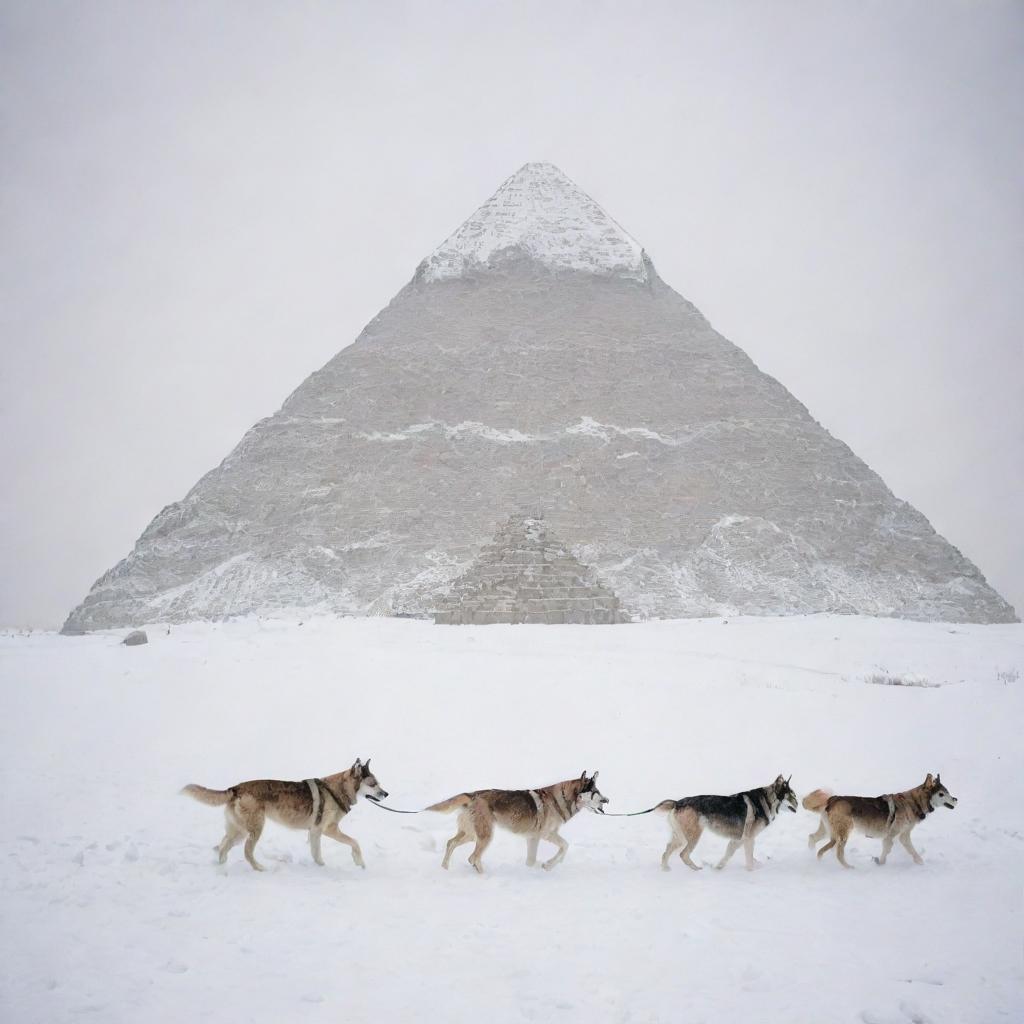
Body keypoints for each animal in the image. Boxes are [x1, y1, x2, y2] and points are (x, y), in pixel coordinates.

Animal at [180, 757, 387, 868]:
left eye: (378, 783)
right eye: (373, 784)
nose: (386, 793)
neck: (337, 790)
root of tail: (236, 788)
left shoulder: (315, 832)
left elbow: (317, 853)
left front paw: (321, 867)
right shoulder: (327, 830)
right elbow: (354, 842)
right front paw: (359, 863)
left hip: (237, 831)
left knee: (222, 846)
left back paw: (222, 868)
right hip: (253, 830)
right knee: (246, 852)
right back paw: (260, 869)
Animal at [423, 774, 606, 872]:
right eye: (595, 792)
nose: (607, 800)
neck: (560, 799)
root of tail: (472, 795)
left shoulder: (538, 837)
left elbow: (563, 847)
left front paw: (547, 866)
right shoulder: (543, 835)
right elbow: (559, 849)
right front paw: (545, 865)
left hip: (471, 835)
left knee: (451, 843)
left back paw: (445, 868)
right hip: (485, 836)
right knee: (472, 857)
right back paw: (484, 877)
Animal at [655, 774, 798, 872]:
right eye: (791, 796)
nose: (798, 804)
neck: (767, 800)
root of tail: (677, 802)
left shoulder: (738, 840)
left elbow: (728, 855)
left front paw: (718, 868)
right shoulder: (749, 839)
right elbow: (749, 859)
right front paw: (751, 872)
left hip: (680, 837)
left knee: (666, 851)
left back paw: (665, 869)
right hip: (692, 837)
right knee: (682, 854)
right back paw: (697, 870)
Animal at [802, 770, 954, 868]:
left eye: (948, 792)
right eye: (941, 794)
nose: (956, 799)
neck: (914, 802)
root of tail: (832, 799)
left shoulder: (903, 836)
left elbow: (912, 852)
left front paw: (921, 863)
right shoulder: (892, 836)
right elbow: (886, 853)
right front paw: (879, 863)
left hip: (829, 831)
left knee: (813, 839)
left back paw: (814, 856)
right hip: (842, 834)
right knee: (837, 853)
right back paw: (848, 867)